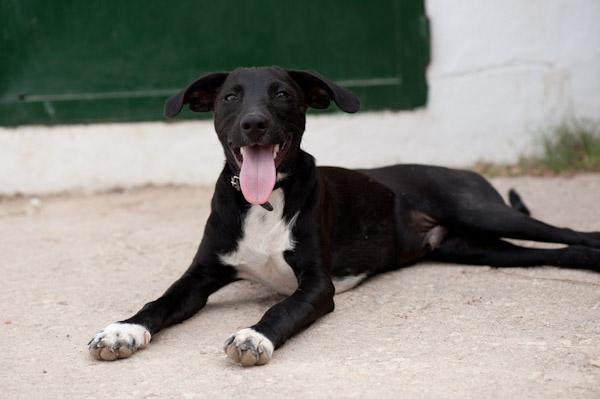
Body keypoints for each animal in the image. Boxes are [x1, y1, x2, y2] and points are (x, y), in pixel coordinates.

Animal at [88, 67, 600, 368]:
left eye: (282, 93)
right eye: (231, 96)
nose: (254, 122)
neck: (264, 203)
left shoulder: (318, 284)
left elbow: (283, 307)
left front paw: (256, 336)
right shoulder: (200, 275)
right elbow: (161, 302)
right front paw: (124, 330)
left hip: (484, 212)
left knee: (571, 232)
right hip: (475, 246)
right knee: (556, 252)